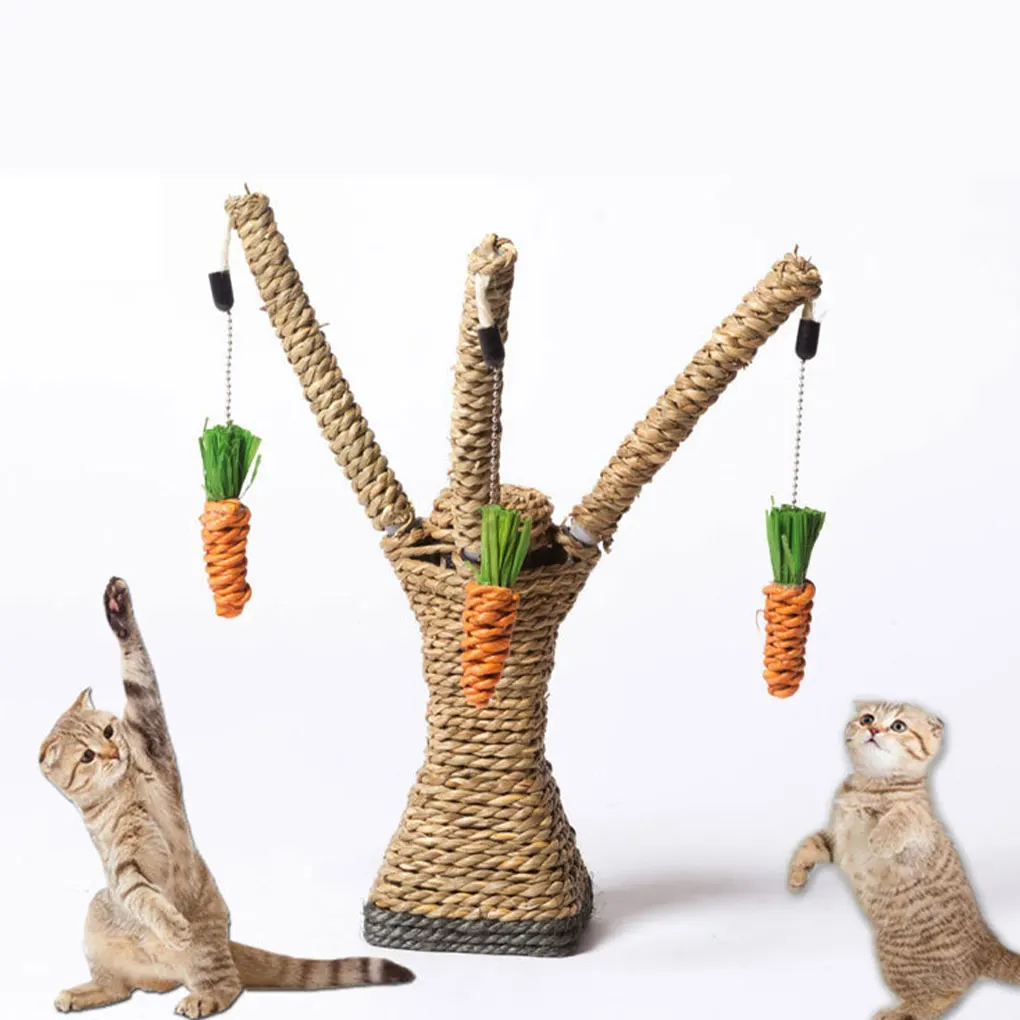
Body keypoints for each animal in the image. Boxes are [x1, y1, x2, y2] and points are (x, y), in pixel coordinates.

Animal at [39, 577, 413, 1017]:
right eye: (86, 756)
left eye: (109, 732)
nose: (113, 753)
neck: (123, 791)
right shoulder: (123, 867)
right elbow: (144, 897)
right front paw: (171, 923)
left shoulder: (149, 734)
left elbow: (137, 670)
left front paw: (117, 608)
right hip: (100, 910)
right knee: (121, 987)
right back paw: (85, 992)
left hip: (201, 950)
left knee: (227, 984)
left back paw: (198, 996)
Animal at [788, 699, 1020, 1019]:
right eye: (867, 718)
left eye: (898, 726)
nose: (873, 729)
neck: (869, 785)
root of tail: (986, 942)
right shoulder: (836, 840)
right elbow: (809, 844)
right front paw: (797, 874)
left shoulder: (920, 834)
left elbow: (906, 814)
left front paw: (880, 838)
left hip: (899, 960)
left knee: (948, 993)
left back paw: (900, 1012)